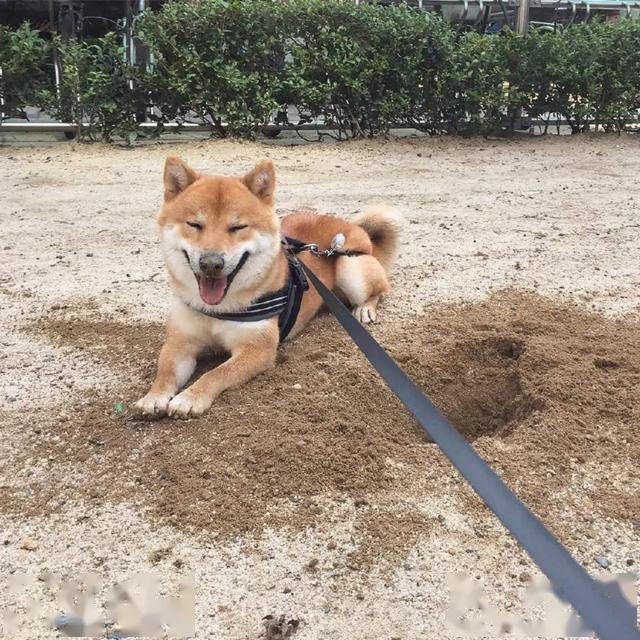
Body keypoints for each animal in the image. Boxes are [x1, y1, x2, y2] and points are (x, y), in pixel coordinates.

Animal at [136, 154, 400, 416]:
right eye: (194, 224)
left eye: (238, 227)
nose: (211, 263)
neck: (219, 308)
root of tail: (353, 228)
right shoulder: (180, 343)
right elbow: (165, 371)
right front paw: (153, 397)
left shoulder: (257, 349)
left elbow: (217, 373)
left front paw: (190, 397)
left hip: (349, 268)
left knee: (380, 289)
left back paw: (365, 308)